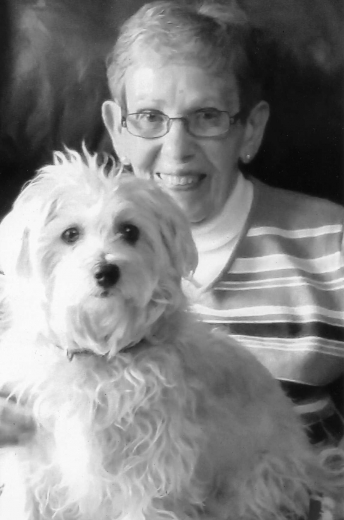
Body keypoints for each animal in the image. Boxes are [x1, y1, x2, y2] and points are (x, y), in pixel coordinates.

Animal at [0, 148, 342, 516]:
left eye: (130, 231)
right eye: (70, 234)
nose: (107, 272)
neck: (101, 355)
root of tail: (314, 464)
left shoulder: (150, 473)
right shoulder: (34, 460)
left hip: (251, 484)